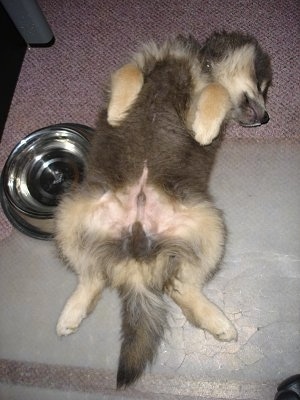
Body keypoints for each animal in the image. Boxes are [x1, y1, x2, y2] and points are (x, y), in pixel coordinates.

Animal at [54, 31, 272, 388]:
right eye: (262, 85)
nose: (267, 118)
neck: (199, 65)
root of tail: (137, 262)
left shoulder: (205, 94)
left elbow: (216, 92)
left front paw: (204, 129)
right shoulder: (142, 60)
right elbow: (129, 72)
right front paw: (117, 110)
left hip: (210, 224)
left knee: (181, 287)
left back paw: (217, 321)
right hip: (70, 215)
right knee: (92, 276)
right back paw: (72, 312)